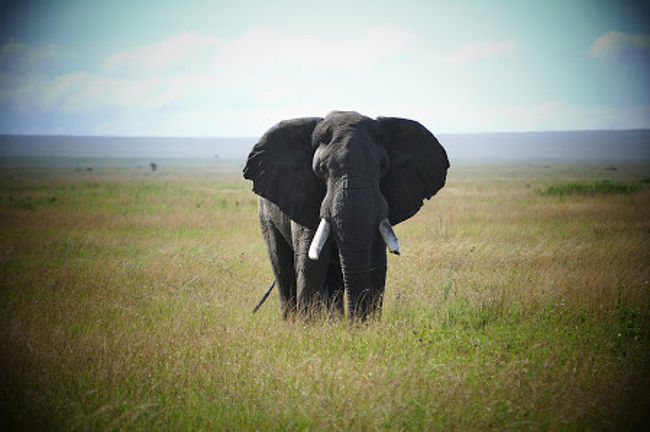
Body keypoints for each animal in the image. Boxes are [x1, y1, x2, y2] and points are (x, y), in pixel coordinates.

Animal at [242, 111, 446, 320]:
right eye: (322, 169)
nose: (354, 323)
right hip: (265, 215)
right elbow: (310, 265)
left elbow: (377, 265)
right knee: (282, 268)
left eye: (382, 167)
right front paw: (308, 326)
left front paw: (365, 326)